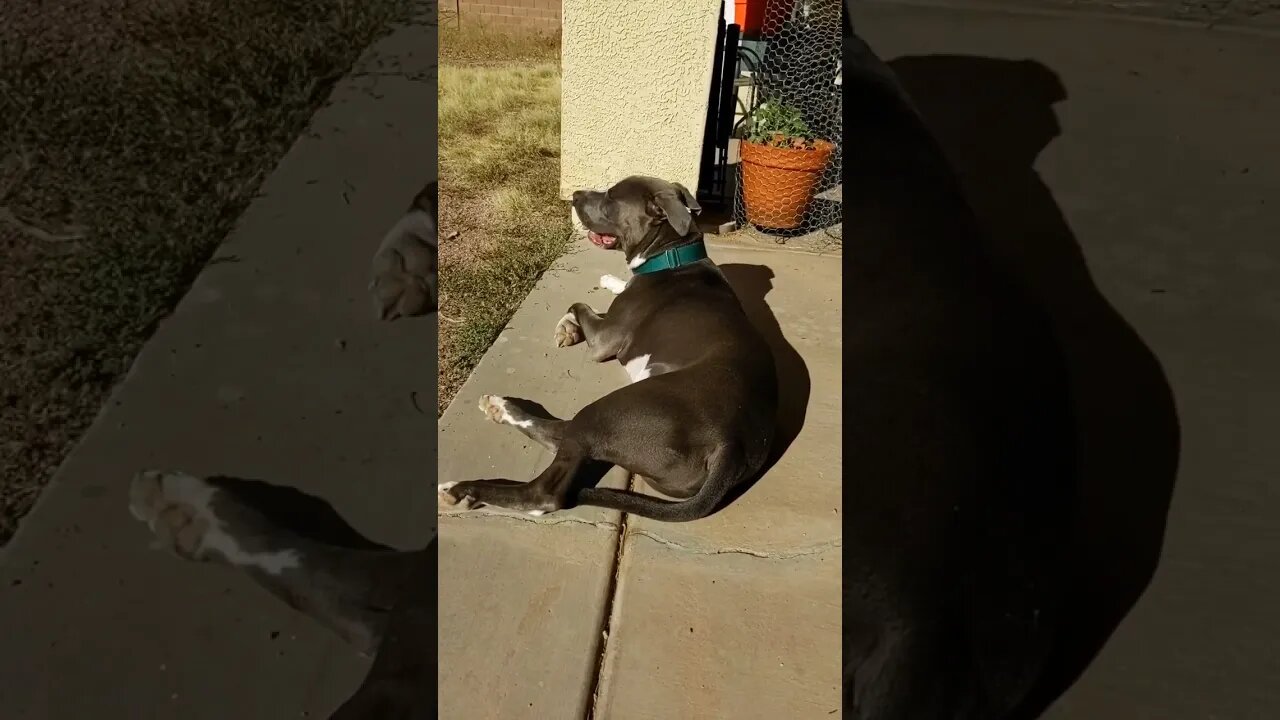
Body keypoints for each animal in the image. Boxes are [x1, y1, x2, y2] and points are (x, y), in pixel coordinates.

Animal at [440, 175, 778, 520]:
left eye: (611, 199)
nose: (574, 195)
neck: (671, 255)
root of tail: (731, 446)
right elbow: (591, 304)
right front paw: (578, 318)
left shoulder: (606, 339)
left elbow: (580, 304)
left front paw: (570, 323)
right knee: (561, 436)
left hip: (612, 412)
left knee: (545, 490)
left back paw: (467, 484)